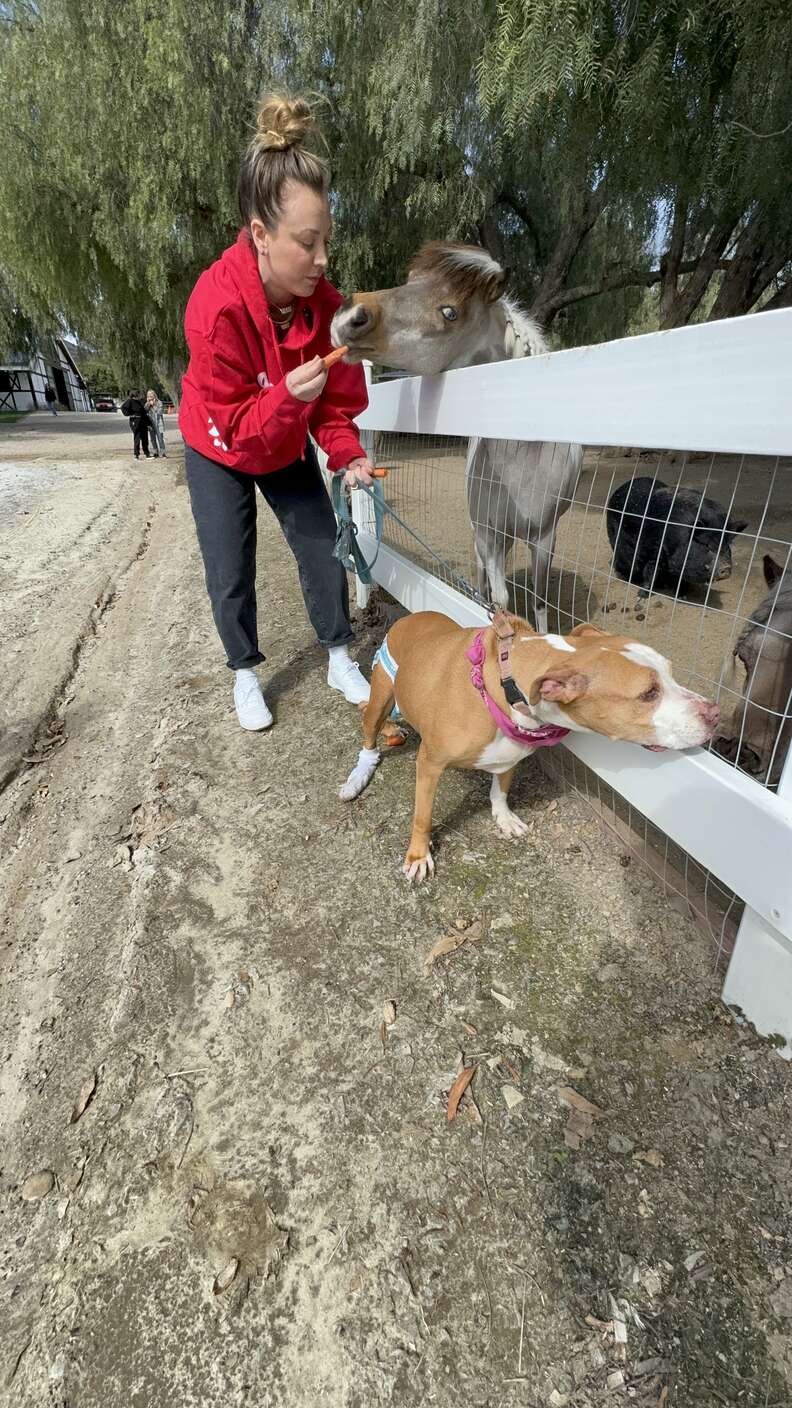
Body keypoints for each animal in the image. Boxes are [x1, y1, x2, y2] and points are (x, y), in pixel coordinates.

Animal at [326, 243, 580, 633]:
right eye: (410, 279)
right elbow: (498, 601)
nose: (348, 315)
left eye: (450, 312)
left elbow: (539, 602)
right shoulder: (488, 535)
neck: (525, 457)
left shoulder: (545, 537)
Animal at [339, 608, 715, 878]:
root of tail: (408, 617)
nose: (714, 711)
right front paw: (419, 855)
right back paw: (359, 774)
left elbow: (500, 789)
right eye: (649, 693)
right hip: (381, 697)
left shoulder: (510, 753)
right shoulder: (430, 763)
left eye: (671, 673)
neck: (505, 687)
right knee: (368, 731)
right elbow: (423, 814)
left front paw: (503, 818)